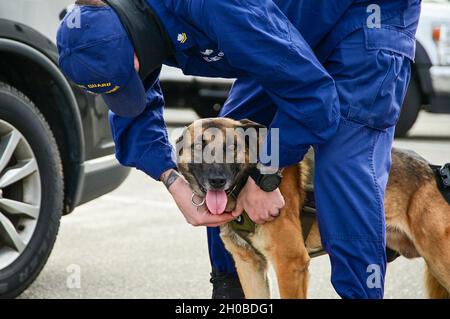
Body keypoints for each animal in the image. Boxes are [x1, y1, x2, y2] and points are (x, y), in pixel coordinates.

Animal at [176, 117, 450, 300]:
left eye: (231, 148)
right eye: (198, 146)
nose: (217, 181)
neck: (247, 181)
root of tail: (434, 173)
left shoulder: (291, 264)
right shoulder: (249, 267)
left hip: (440, 262)